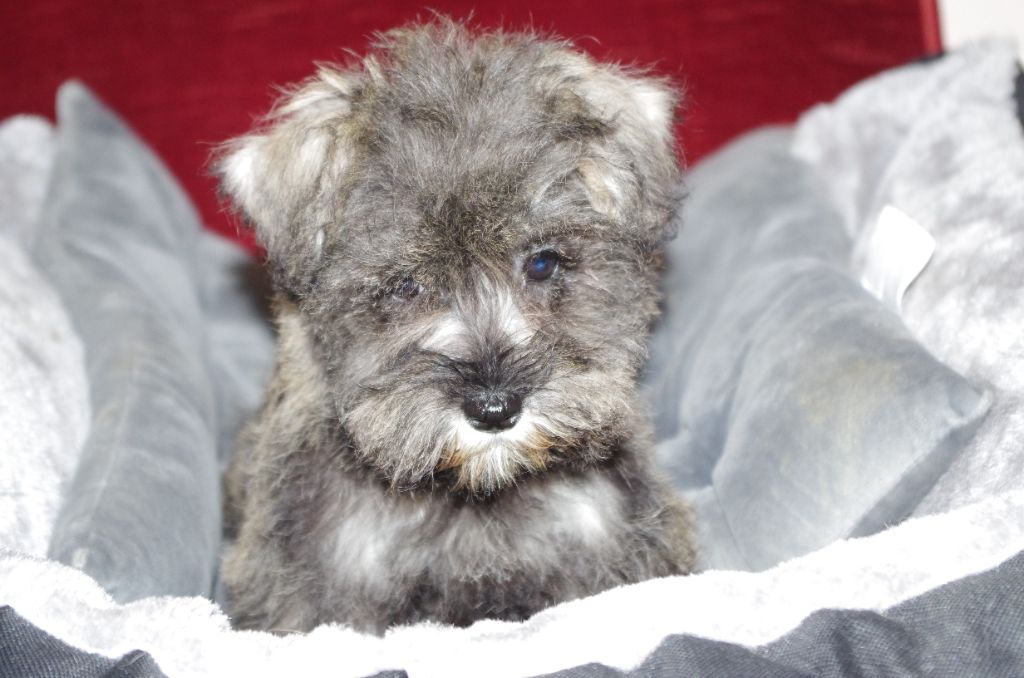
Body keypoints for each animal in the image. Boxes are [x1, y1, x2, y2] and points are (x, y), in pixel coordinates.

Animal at [216, 19, 695, 635]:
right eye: (405, 285)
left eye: (543, 262)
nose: (494, 408)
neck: (474, 491)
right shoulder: (318, 585)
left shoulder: (611, 549)